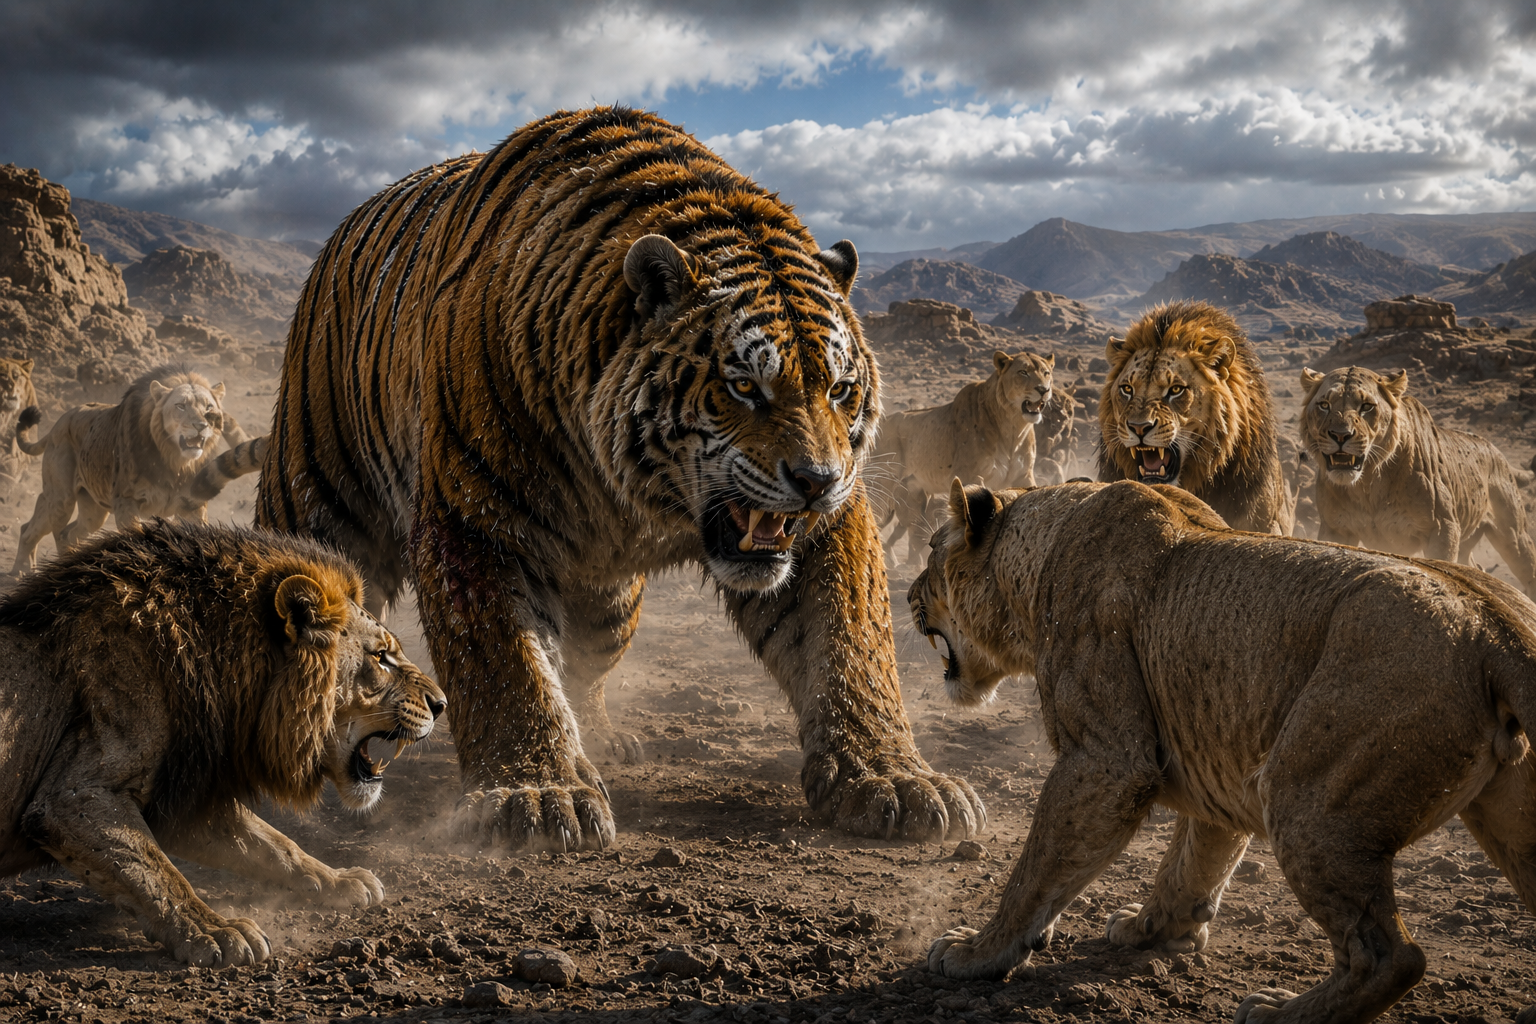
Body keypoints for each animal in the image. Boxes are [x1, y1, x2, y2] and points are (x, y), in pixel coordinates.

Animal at [256, 106, 984, 852]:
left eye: (839, 390)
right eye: (745, 387)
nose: (817, 480)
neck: (630, 493)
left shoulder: (825, 531)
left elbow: (849, 638)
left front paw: (893, 778)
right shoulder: (472, 521)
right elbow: (505, 662)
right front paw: (537, 794)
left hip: (612, 608)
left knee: (584, 664)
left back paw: (605, 739)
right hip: (317, 510)